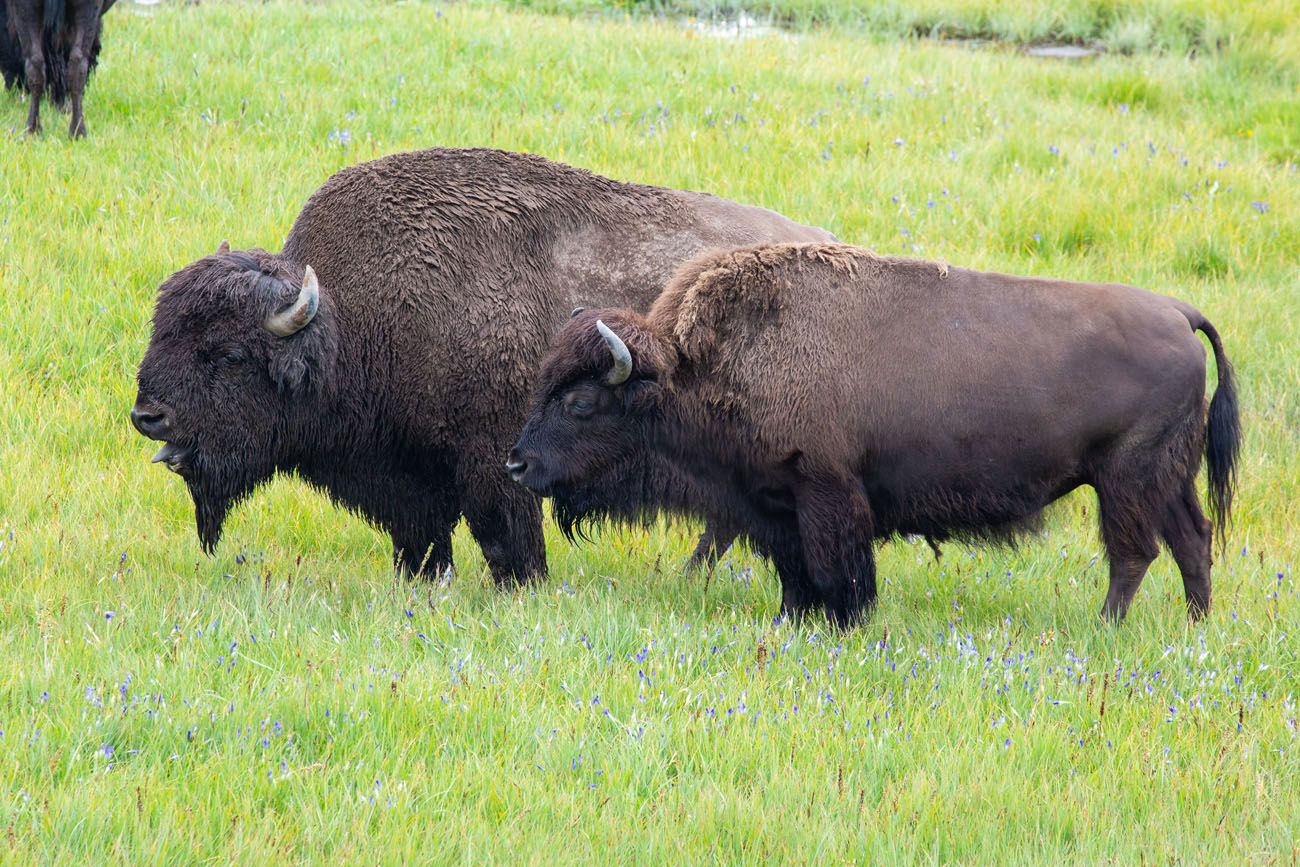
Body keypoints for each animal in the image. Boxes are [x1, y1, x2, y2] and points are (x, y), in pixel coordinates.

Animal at [131, 149, 832, 587]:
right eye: (162, 329)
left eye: (229, 354)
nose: (147, 415)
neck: (348, 319)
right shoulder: (407, 477)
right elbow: (422, 540)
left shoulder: (495, 459)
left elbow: (505, 538)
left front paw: (521, 589)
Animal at [504, 240, 1237, 626]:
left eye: (581, 401)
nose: (517, 465)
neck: (693, 365)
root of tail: (1179, 312)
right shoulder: (772, 505)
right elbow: (793, 570)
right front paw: (792, 617)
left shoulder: (827, 493)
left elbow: (839, 568)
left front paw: (846, 621)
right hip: (1168, 476)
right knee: (1191, 540)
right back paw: (1195, 624)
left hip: (1126, 477)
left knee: (1134, 552)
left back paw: (1107, 626)